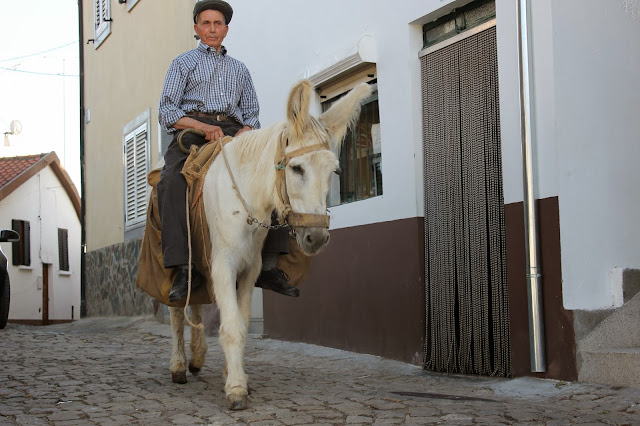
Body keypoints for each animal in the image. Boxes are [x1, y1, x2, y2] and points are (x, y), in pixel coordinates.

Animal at [168, 79, 372, 410]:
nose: (317, 237)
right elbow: (232, 326)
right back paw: (178, 365)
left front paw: (234, 374)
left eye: (334, 171)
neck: (245, 199)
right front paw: (236, 389)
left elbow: (241, 321)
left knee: (195, 307)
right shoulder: (223, 266)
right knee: (176, 309)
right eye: (297, 168)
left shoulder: (249, 269)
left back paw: (197, 358)